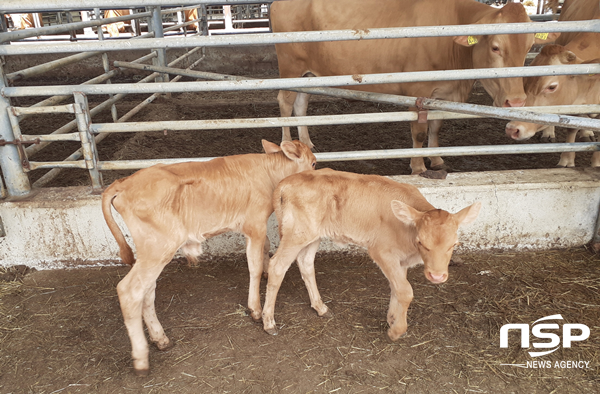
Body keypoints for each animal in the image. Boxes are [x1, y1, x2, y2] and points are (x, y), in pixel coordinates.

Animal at [103, 140, 316, 374]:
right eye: (314, 163)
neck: (268, 172)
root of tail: (123, 182)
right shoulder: (255, 225)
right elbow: (254, 267)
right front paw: (256, 310)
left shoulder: (249, 229)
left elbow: (264, 251)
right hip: (158, 249)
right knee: (130, 291)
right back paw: (141, 357)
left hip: (152, 253)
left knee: (147, 292)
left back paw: (160, 339)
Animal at [260, 171, 480, 340]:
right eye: (421, 242)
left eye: (454, 244)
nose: (437, 276)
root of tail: (285, 182)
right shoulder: (382, 251)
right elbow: (406, 291)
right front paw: (396, 331)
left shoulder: (400, 261)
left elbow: (397, 288)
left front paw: (392, 318)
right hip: (296, 234)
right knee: (277, 266)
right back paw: (268, 322)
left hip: (312, 236)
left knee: (305, 263)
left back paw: (320, 307)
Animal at [270, 0, 556, 174]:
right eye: (496, 47)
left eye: (529, 46)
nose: (516, 101)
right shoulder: (417, 89)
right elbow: (418, 132)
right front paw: (418, 166)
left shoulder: (444, 93)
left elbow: (436, 127)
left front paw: (437, 159)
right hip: (290, 67)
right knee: (285, 101)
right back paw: (287, 147)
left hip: (308, 74)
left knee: (301, 104)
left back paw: (306, 142)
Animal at [506, 0, 600, 167]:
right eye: (526, 80)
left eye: (551, 87)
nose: (512, 128)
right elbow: (572, 127)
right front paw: (567, 160)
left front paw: (596, 162)